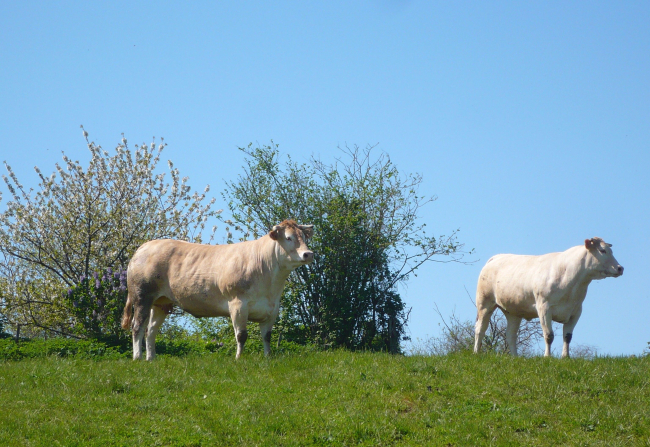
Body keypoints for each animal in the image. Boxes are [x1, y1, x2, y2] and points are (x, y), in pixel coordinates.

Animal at [123, 220, 316, 360]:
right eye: (289, 238)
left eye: (304, 237)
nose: (308, 254)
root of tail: (145, 246)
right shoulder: (238, 304)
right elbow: (241, 335)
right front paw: (239, 358)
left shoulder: (272, 308)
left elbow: (267, 336)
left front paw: (268, 357)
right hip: (142, 296)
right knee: (137, 326)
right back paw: (137, 357)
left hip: (161, 302)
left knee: (151, 330)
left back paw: (151, 358)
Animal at [474, 238, 620, 360]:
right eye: (602, 250)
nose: (620, 268)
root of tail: (497, 257)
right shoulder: (544, 307)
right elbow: (549, 335)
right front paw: (547, 356)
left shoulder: (576, 311)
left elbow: (567, 336)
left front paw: (565, 357)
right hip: (484, 303)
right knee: (480, 329)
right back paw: (476, 352)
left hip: (513, 312)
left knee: (510, 334)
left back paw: (515, 357)